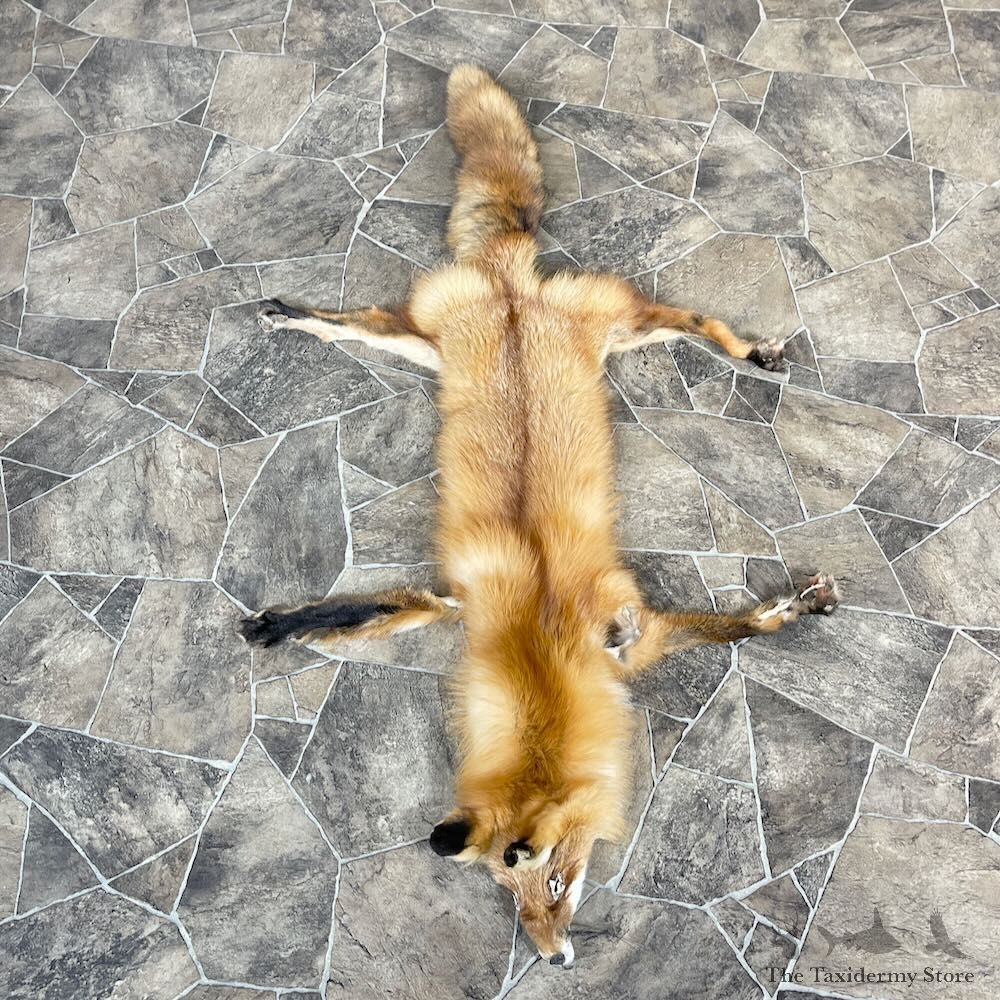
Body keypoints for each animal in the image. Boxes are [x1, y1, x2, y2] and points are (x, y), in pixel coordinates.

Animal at [238, 64, 839, 970]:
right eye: (509, 896)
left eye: (554, 881)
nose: (552, 959)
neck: (540, 640)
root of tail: (508, 283)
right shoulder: (456, 602)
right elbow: (358, 610)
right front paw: (281, 626)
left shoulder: (632, 634)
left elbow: (741, 628)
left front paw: (792, 607)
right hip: (424, 343)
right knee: (354, 326)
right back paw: (293, 314)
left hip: (619, 329)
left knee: (692, 322)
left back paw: (753, 352)